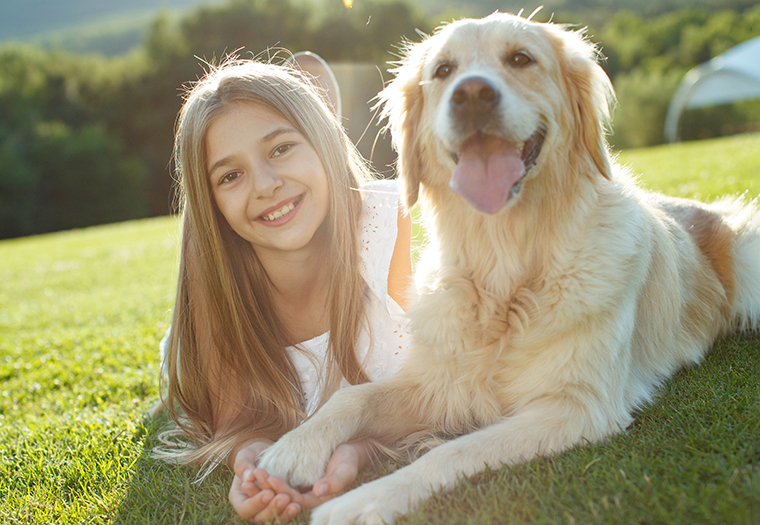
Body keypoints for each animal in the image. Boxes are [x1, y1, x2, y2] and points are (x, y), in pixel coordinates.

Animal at [256, 10, 760, 520]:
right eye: (443, 70)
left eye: (521, 58)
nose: (472, 94)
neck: (506, 272)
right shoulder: (439, 380)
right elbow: (354, 395)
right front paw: (294, 448)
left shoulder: (575, 406)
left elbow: (452, 450)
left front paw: (364, 501)